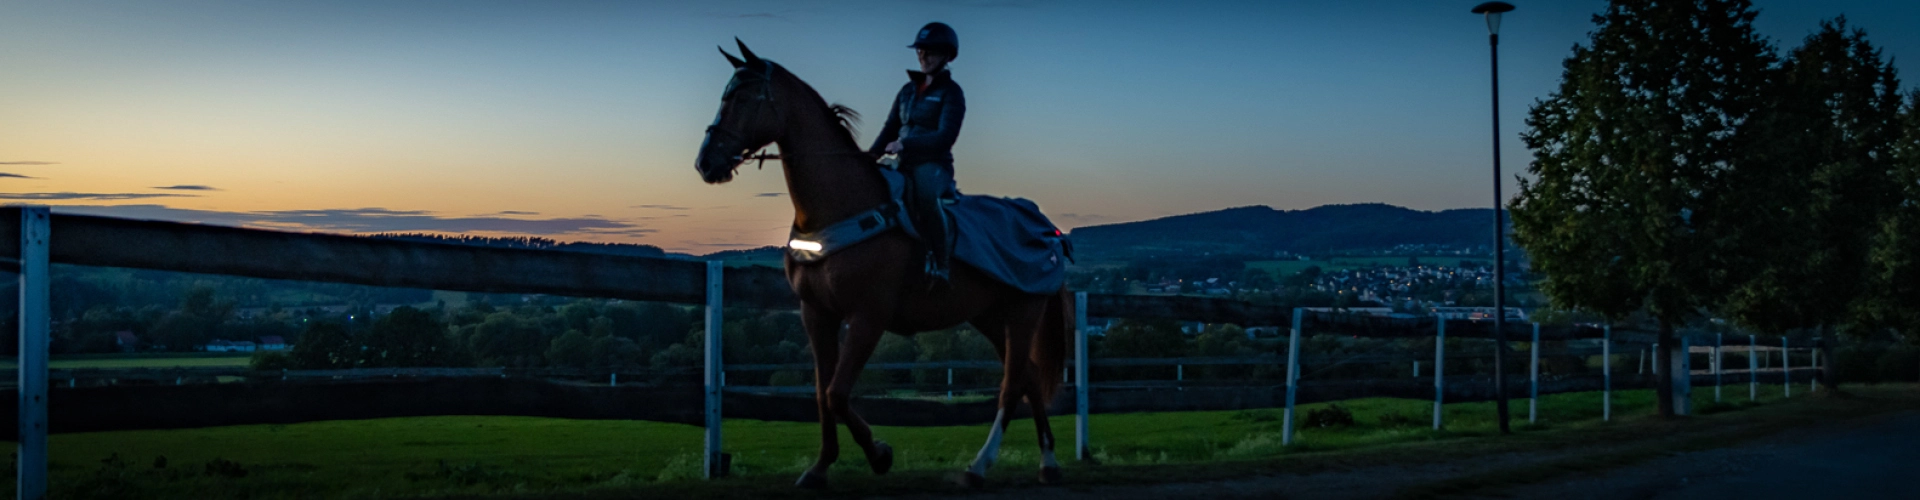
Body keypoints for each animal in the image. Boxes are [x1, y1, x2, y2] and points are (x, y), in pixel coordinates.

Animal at [693, 40, 1073, 489]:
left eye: (744, 97)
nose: (706, 163)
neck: (838, 208)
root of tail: (1047, 227)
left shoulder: (867, 317)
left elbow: (837, 393)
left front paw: (879, 454)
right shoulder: (816, 314)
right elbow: (821, 394)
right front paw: (820, 468)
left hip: (1022, 313)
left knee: (1012, 385)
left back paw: (979, 467)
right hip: (991, 316)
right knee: (1029, 376)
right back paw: (1048, 462)